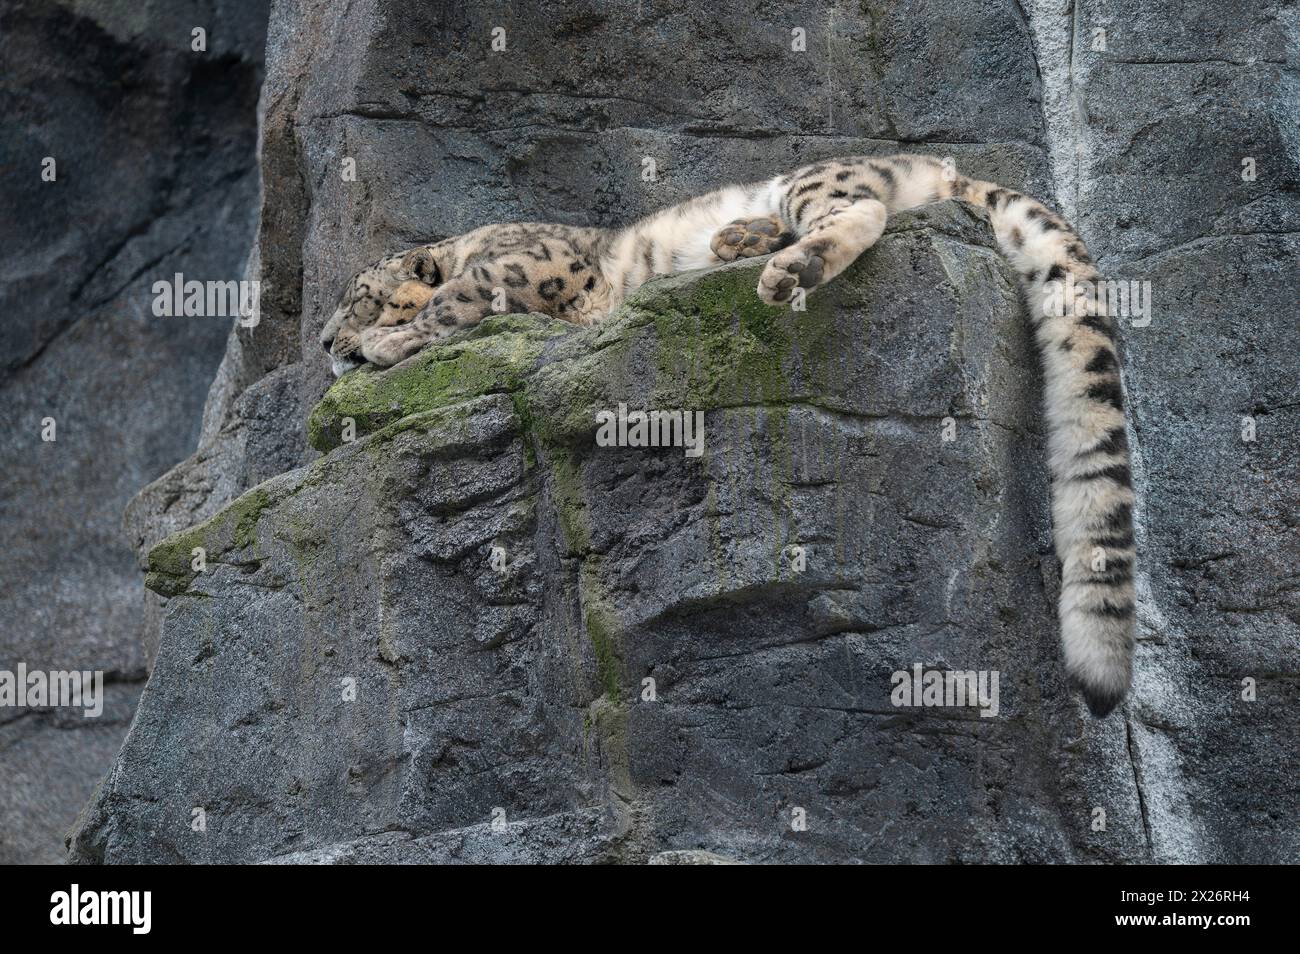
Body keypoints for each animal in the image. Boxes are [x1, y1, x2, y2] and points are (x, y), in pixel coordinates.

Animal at [319, 155, 1133, 717]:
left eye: (360, 298)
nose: (326, 341)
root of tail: (942, 167)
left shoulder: (530, 262)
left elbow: (457, 298)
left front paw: (391, 344)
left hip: (817, 179)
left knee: (862, 209)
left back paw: (786, 266)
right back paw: (746, 239)